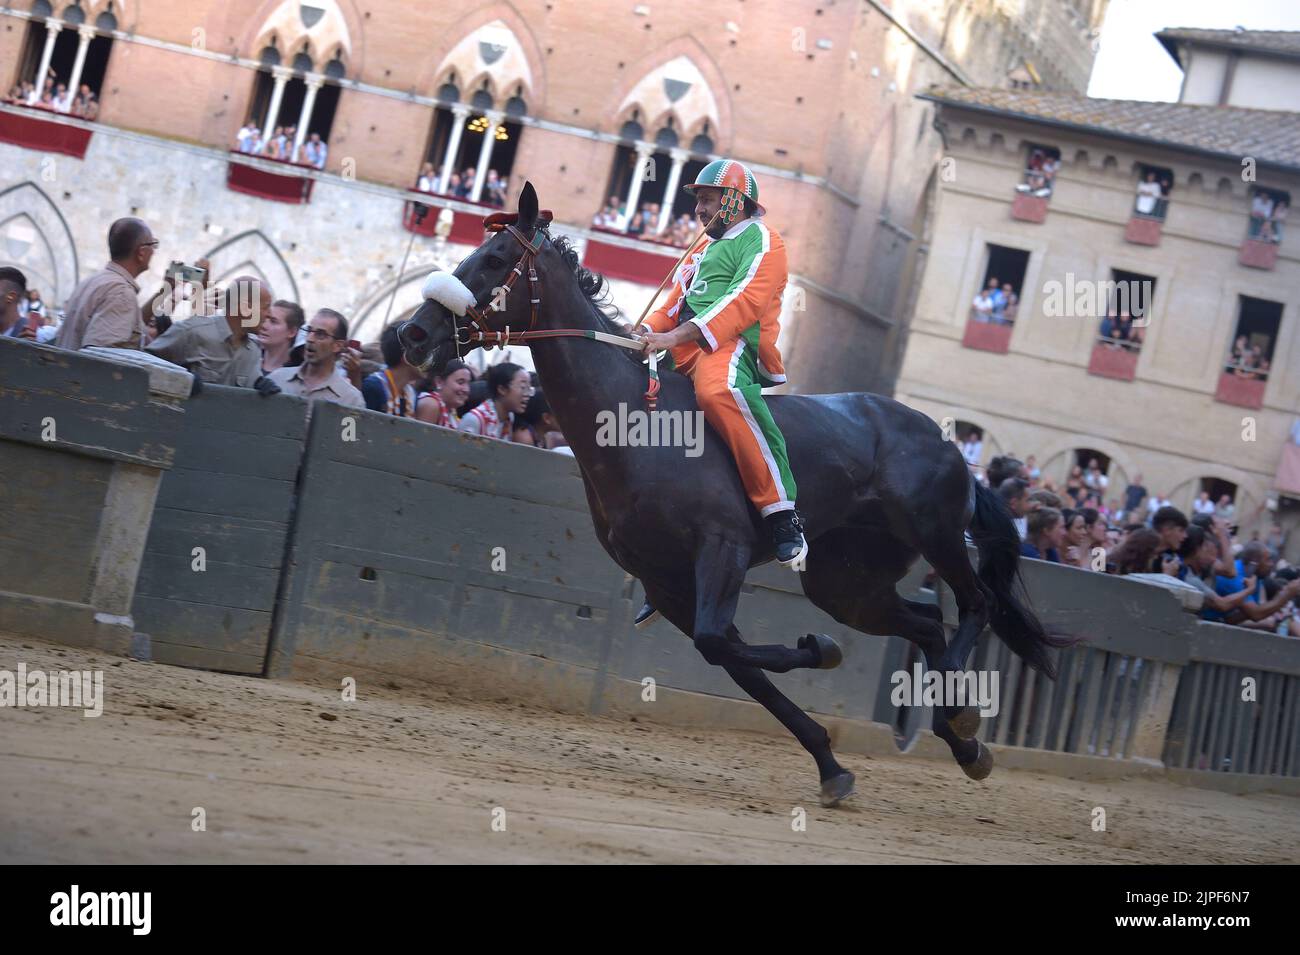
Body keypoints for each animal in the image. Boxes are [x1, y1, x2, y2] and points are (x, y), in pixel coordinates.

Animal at [397, 184, 1066, 805]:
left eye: (495, 257)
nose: (412, 332)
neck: (635, 427)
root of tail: (948, 442)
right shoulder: (667, 582)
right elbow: (732, 657)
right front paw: (829, 761)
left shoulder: (721, 551)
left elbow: (723, 644)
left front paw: (820, 654)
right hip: (846, 584)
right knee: (926, 622)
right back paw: (962, 739)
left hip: (935, 534)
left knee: (976, 603)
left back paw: (960, 713)